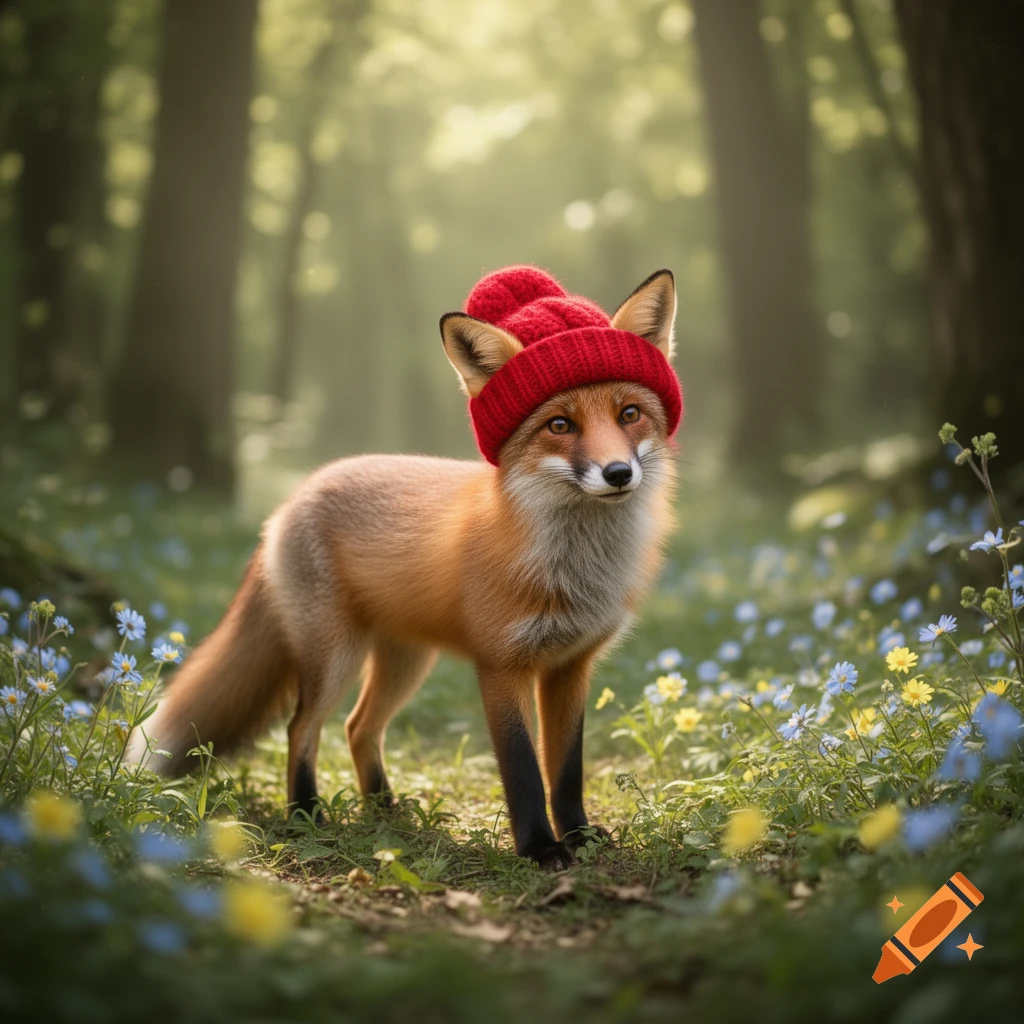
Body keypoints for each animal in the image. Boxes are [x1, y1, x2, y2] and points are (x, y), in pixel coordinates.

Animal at [127, 265, 682, 870]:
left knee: (358, 727)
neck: (575, 569)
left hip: (406, 662)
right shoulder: (501, 666)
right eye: (560, 424)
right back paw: (306, 813)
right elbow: (523, 771)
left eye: (629, 415)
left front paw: (578, 835)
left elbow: (566, 770)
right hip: (336, 656)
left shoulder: (570, 667)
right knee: (303, 726)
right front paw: (539, 848)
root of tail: (293, 497)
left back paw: (383, 808)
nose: (618, 473)